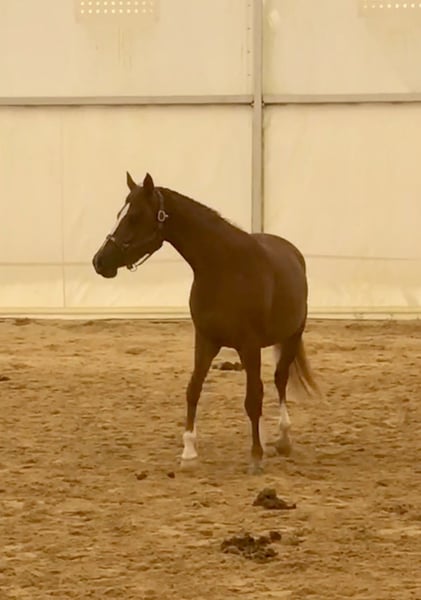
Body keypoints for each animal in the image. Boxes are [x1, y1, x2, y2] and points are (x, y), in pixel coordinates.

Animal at [92, 172, 318, 474]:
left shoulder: (249, 344)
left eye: (135, 216)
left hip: (291, 337)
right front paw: (189, 452)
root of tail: (292, 252)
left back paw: (283, 438)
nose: (99, 261)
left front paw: (256, 456)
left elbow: (253, 398)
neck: (224, 268)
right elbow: (194, 390)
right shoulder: (206, 340)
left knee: (279, 381)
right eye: (121, 213)